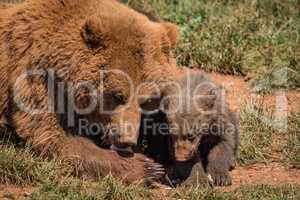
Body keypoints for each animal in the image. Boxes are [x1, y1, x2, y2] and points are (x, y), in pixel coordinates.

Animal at [0, 0, 183, 184]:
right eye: (117, 96)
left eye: (146, 101)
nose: (127, 140)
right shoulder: (36, 80)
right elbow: (52, 135)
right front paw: (147, 167)